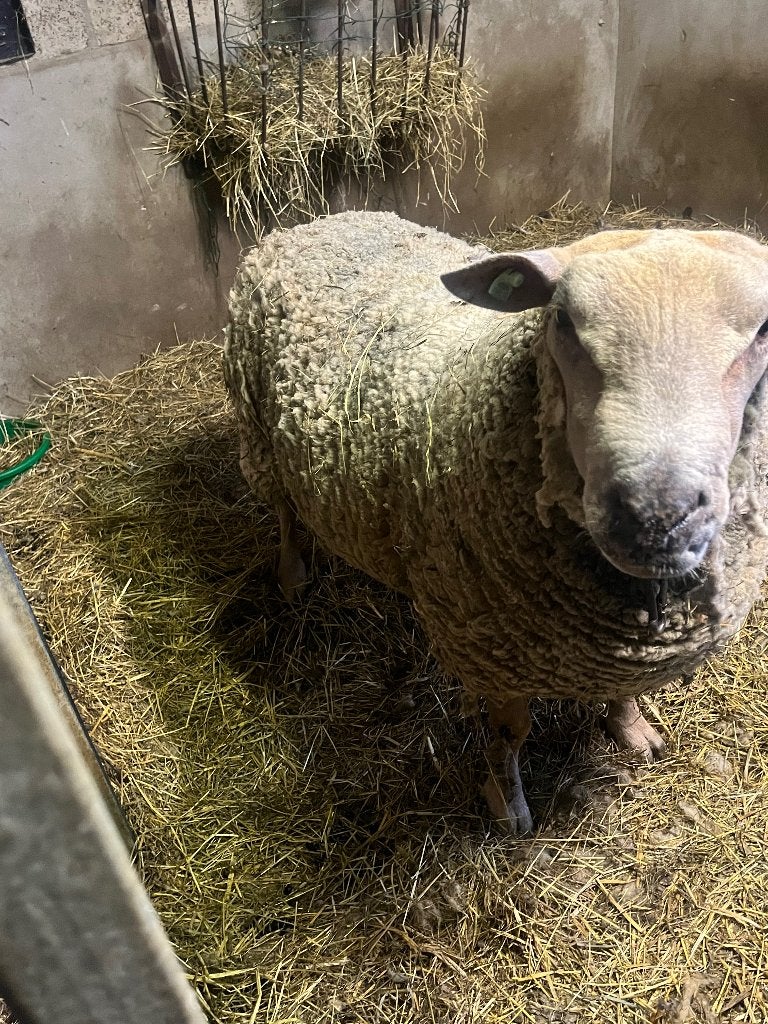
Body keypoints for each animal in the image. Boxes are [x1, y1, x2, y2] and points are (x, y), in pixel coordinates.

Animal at [224, 210, 768, 834]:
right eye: (564, 321)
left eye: (762, 332)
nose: (656, 514)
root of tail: (321, 220)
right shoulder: (491, 650)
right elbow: (511, 733)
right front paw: (507, 804)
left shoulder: (625, 651)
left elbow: (627, 691)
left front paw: (631, 730)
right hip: (258, 434)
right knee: (285, 513)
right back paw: (293, 576)